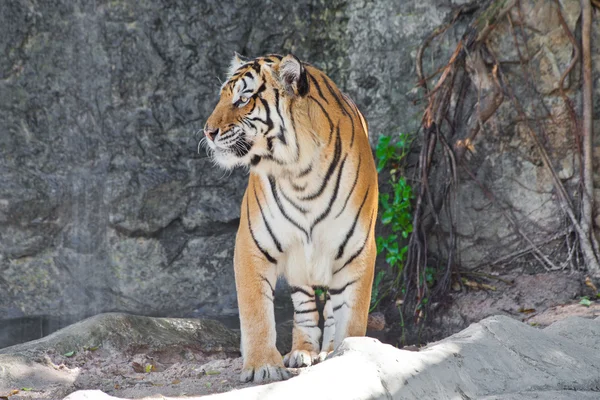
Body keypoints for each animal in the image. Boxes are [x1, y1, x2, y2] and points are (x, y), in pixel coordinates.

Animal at [202, 53, 380, 384]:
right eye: (222, 96)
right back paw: (303, 352)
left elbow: (351, 315)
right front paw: (262, 365)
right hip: (299, 262)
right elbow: (256, 312)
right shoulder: (251, 245)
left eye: (243, 99)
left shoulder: (356, 251)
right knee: (306, 306)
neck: (299, 171)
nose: (208, 131)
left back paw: (327, 350)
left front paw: (348, 355)